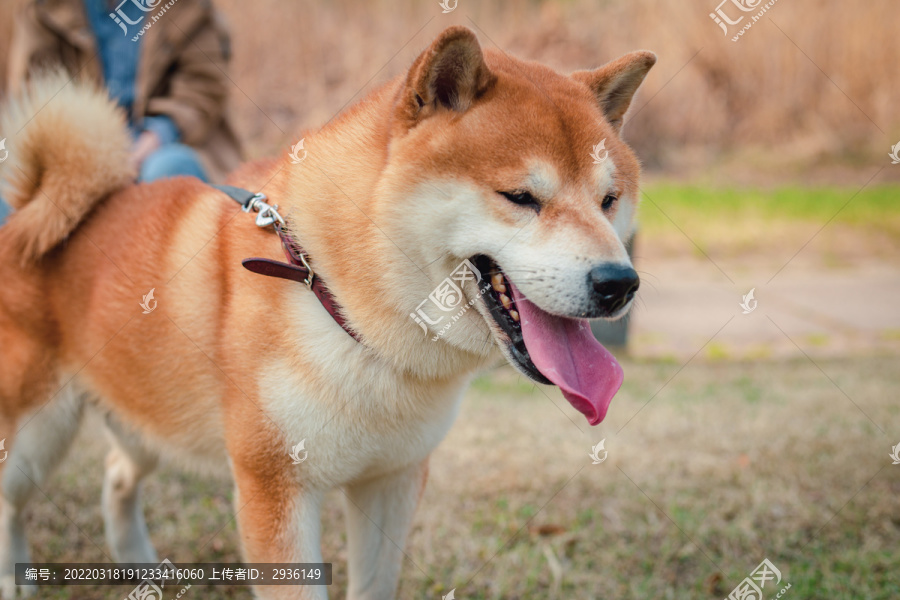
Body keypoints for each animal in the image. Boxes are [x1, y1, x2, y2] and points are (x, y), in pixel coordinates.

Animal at [0, 25, 652, 596]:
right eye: (520, 196)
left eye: (608, 200)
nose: (619, 283)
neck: (346, 312)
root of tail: (31, 209)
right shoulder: (274, 487)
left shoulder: (392, 480)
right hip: (37, 436)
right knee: (12, 500)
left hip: (147, 420)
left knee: (116, 475)